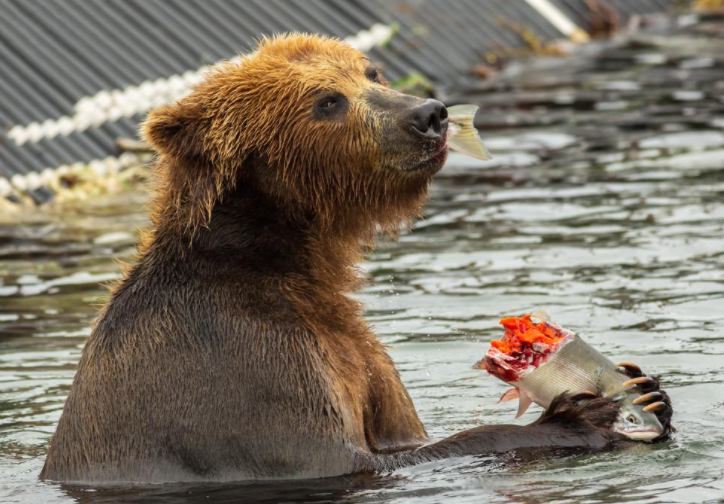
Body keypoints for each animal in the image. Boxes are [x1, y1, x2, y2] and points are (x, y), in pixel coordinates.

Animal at [39, 33, 672, 482]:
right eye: (327, 100)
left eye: (371, 71)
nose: (430, 113)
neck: (290, 263)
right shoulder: (244, 362)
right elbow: (349, 459)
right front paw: (578, 415)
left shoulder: (352, 348)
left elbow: (398, 430)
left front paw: (648, 385)